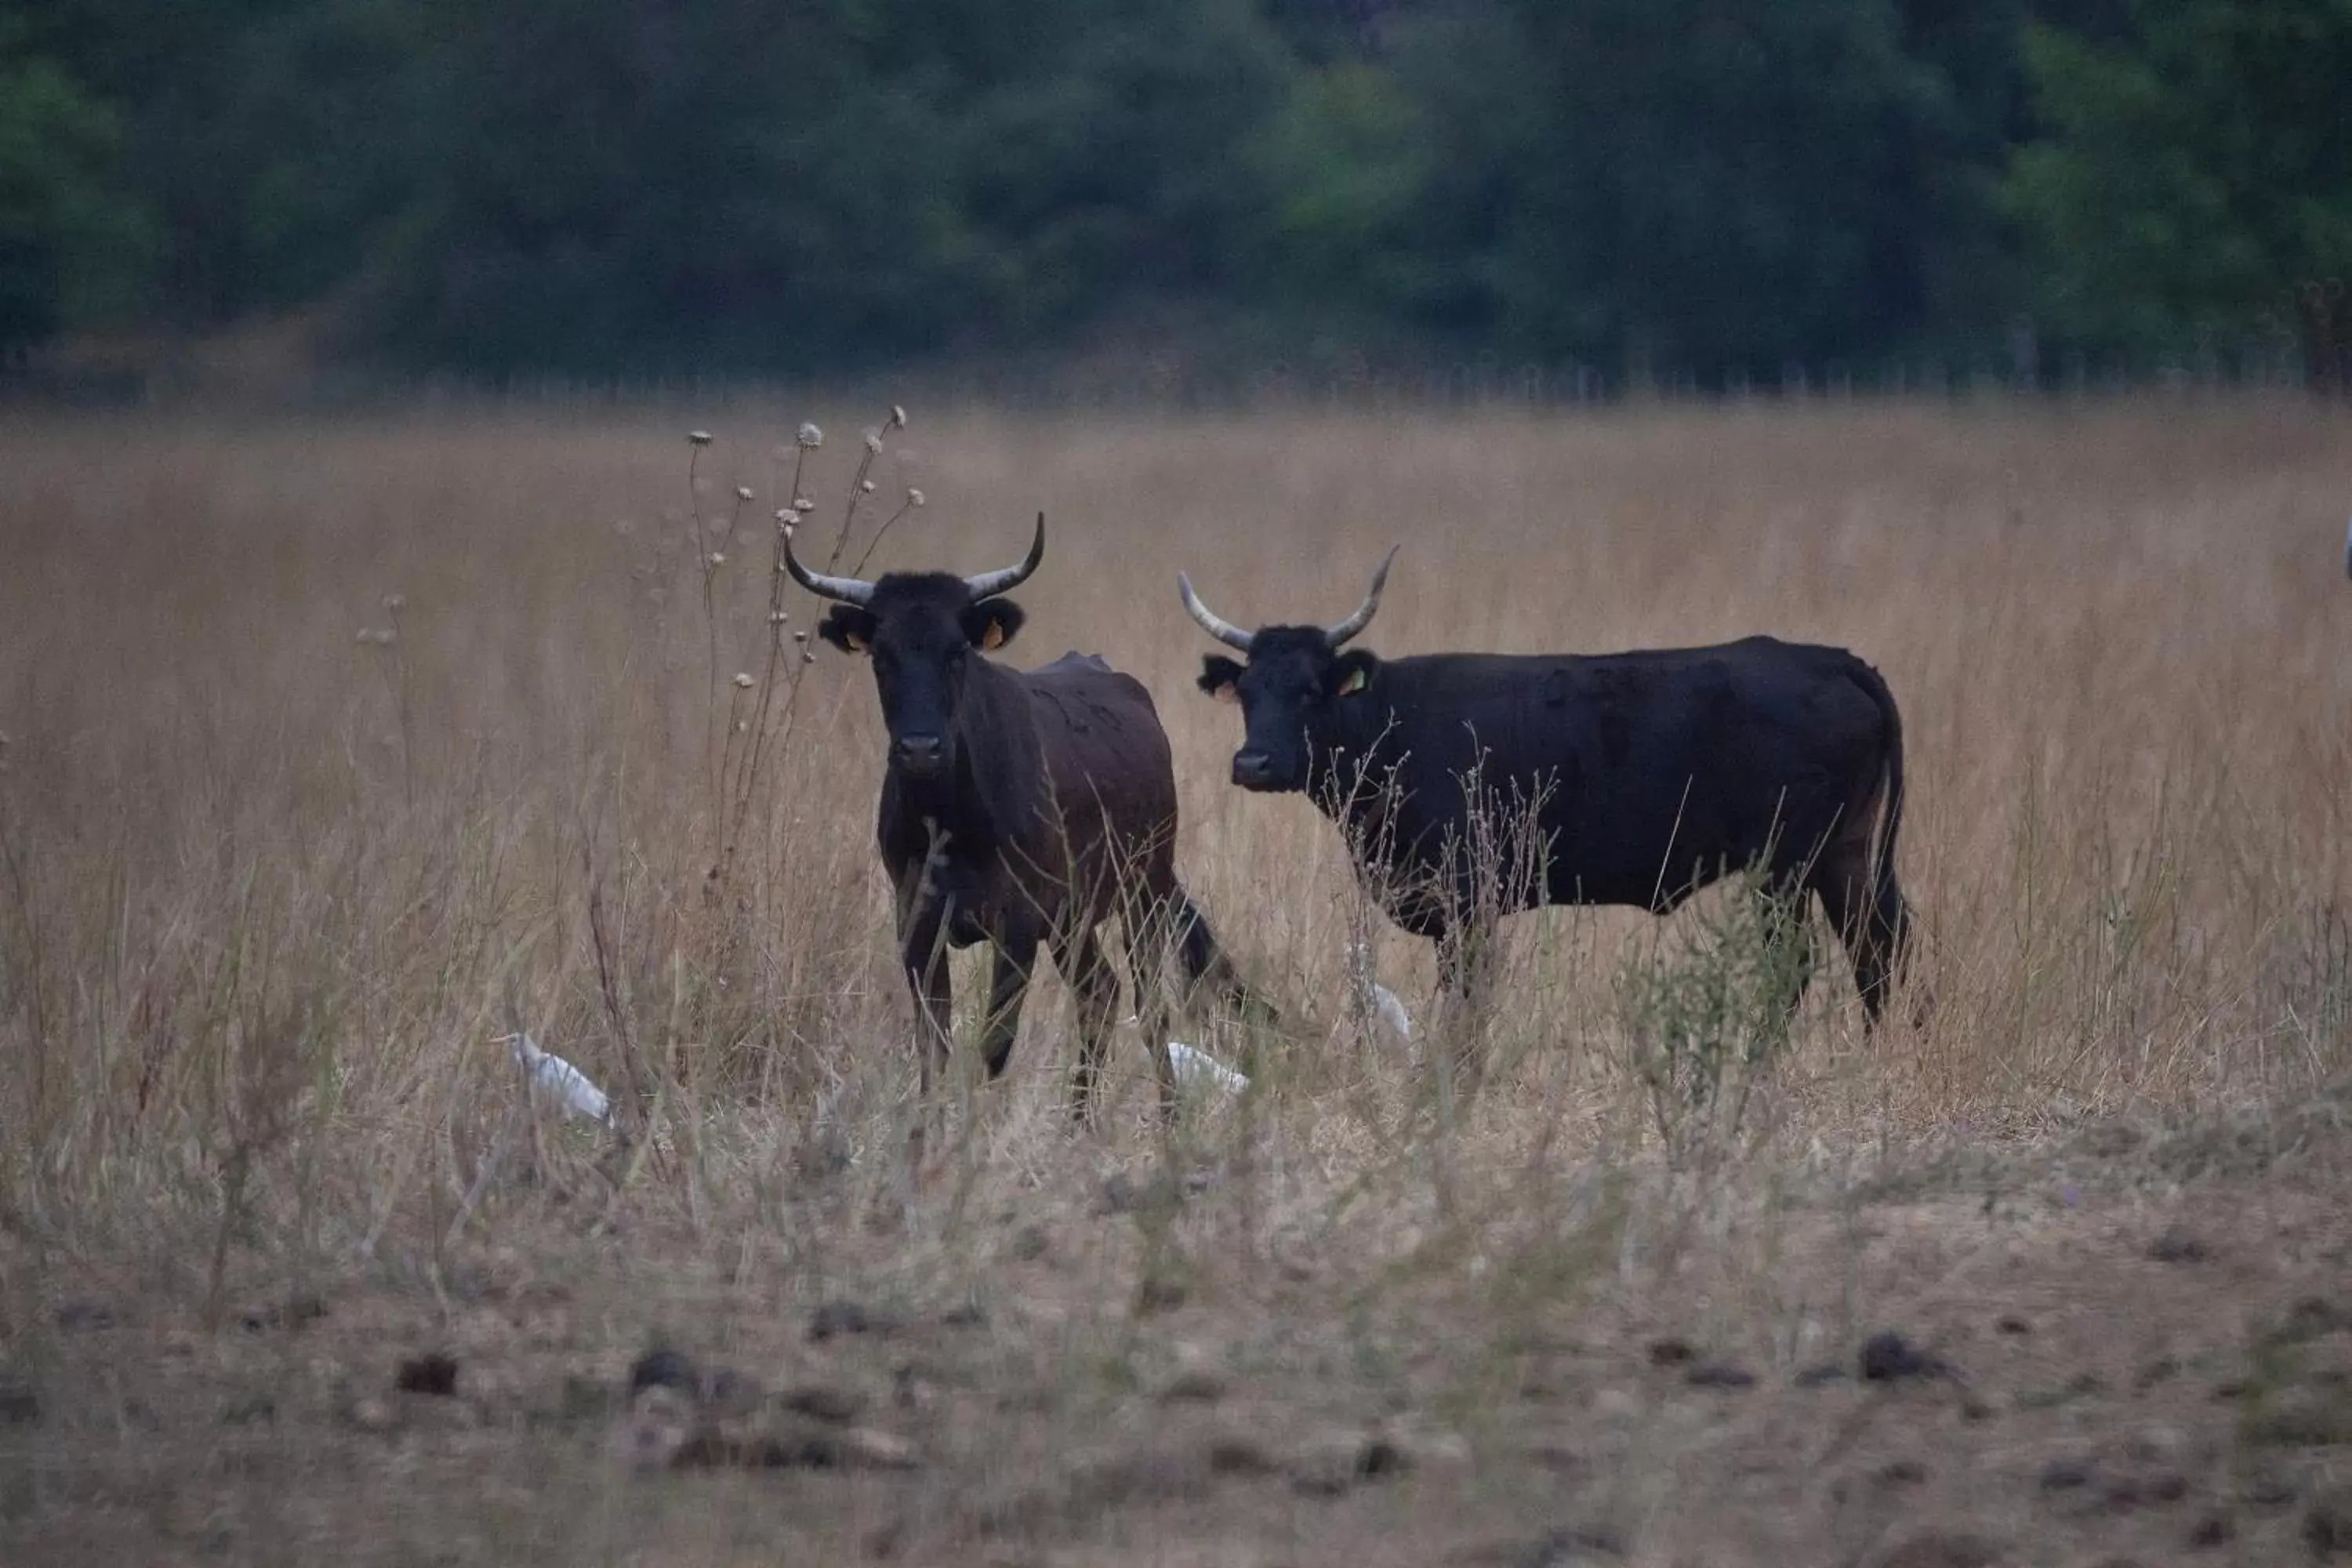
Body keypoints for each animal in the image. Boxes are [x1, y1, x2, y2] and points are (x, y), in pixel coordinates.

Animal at [790, 521, 1261, 1123]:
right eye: (882, 657)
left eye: (957, 651)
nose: (920, 749)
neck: (950, 822)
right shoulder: (915, 917)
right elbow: (933, 1040)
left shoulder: (1015, 923)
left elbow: (996, 1039)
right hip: (1072, 918)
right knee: (1099, 993)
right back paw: (1078, 1123)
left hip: (1144, 891)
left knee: (1149, 1003)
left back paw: (1168, 1118)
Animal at [1185, 557, 1919, 1034]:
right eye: (1247, 692)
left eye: (1311, 691)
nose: (1253, 763)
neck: (1390, 724)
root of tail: (1831, 659)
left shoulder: (1468, 898)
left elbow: (1466, 995)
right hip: (1849, 854)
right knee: (1884, 947)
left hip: (1788, 864)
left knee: (1799, 962)